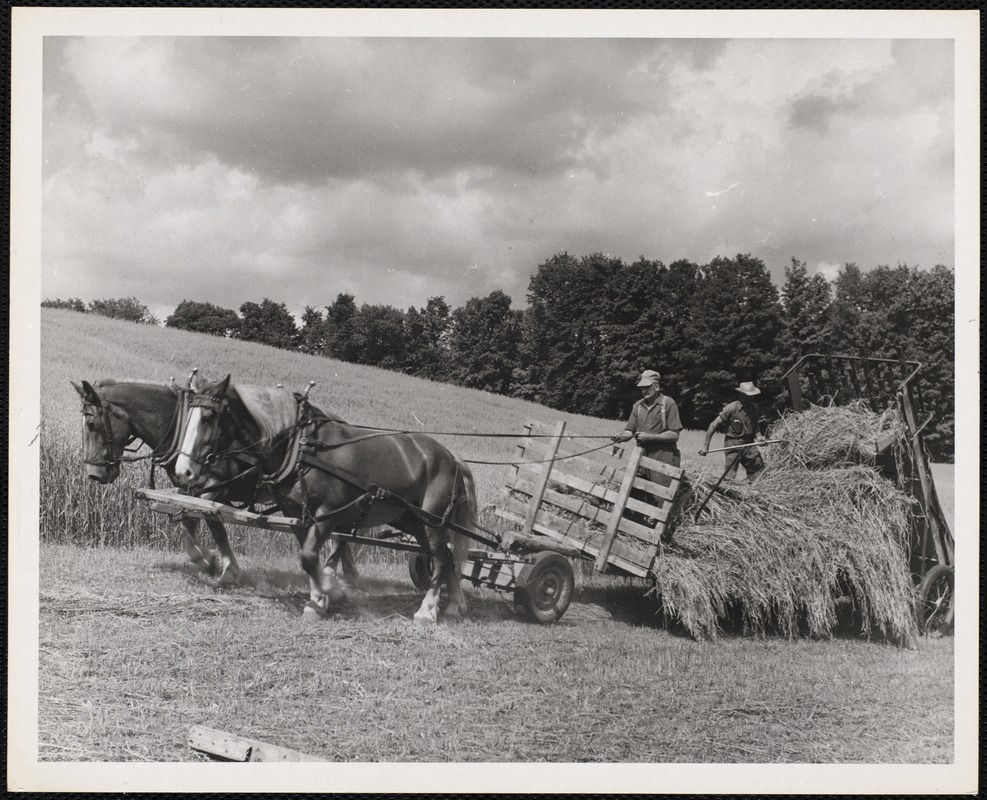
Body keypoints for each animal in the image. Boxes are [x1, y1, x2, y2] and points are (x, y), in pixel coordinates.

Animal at [72, 378, 358, 584]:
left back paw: (339, 573)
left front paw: (222, 566)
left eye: (91, 423)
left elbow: (210, 522)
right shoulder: (188, 488)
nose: (94, 474)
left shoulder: (215, 489)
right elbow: (189, 521)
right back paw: (343, 572)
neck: (183, 428)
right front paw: (207, 560)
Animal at [176, 376, 476, 624]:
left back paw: (428, 610)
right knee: (446, 555)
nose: (183, 472)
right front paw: (320, 599)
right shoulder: (298, 514)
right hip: (410, 520)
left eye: (208, 417)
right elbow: (309, 557)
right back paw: (454, 605)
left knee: (440, 557)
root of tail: (452, 457)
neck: (301, 448)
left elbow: (309, 557)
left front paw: (330, 591)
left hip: (433, 520)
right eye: (188, 416)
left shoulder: (328, 514)